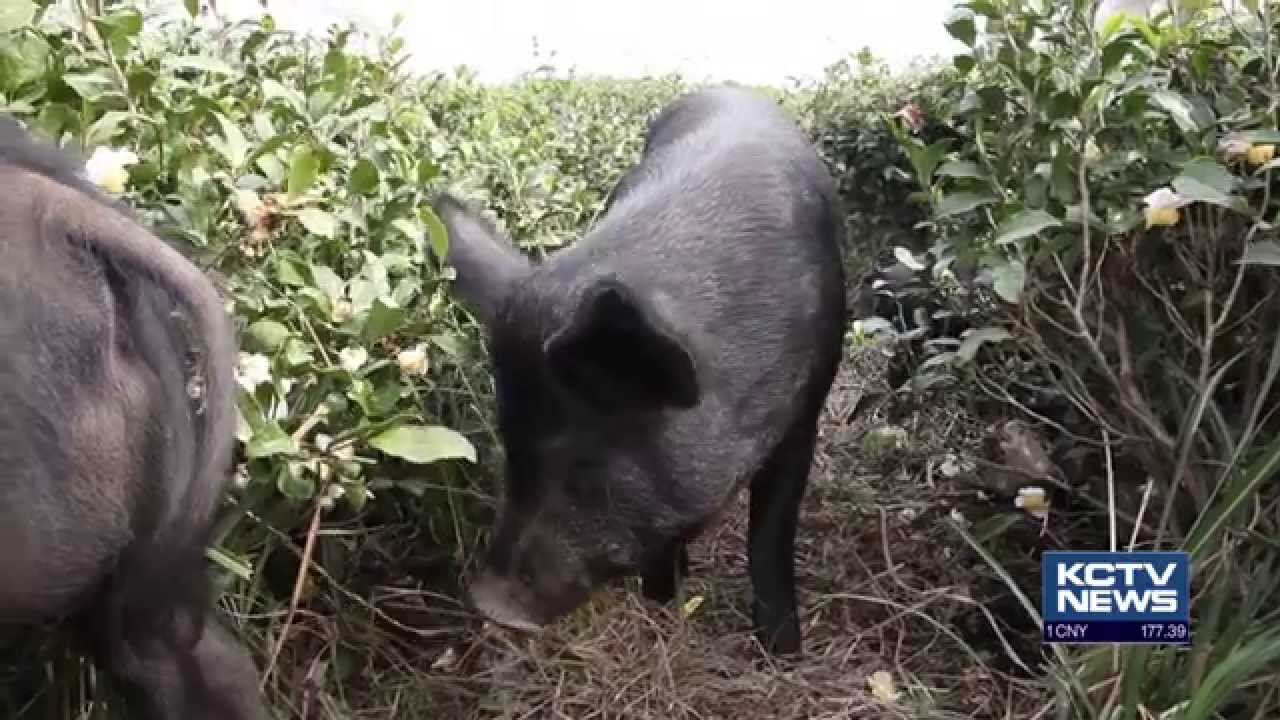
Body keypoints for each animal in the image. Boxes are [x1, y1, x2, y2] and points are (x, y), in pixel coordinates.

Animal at [433, 85, 846, 655]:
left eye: (581, 459)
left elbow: (770, 531)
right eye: (510, 447)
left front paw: (782, 651)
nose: (487, 602)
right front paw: (661, 602)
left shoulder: (806, 408)